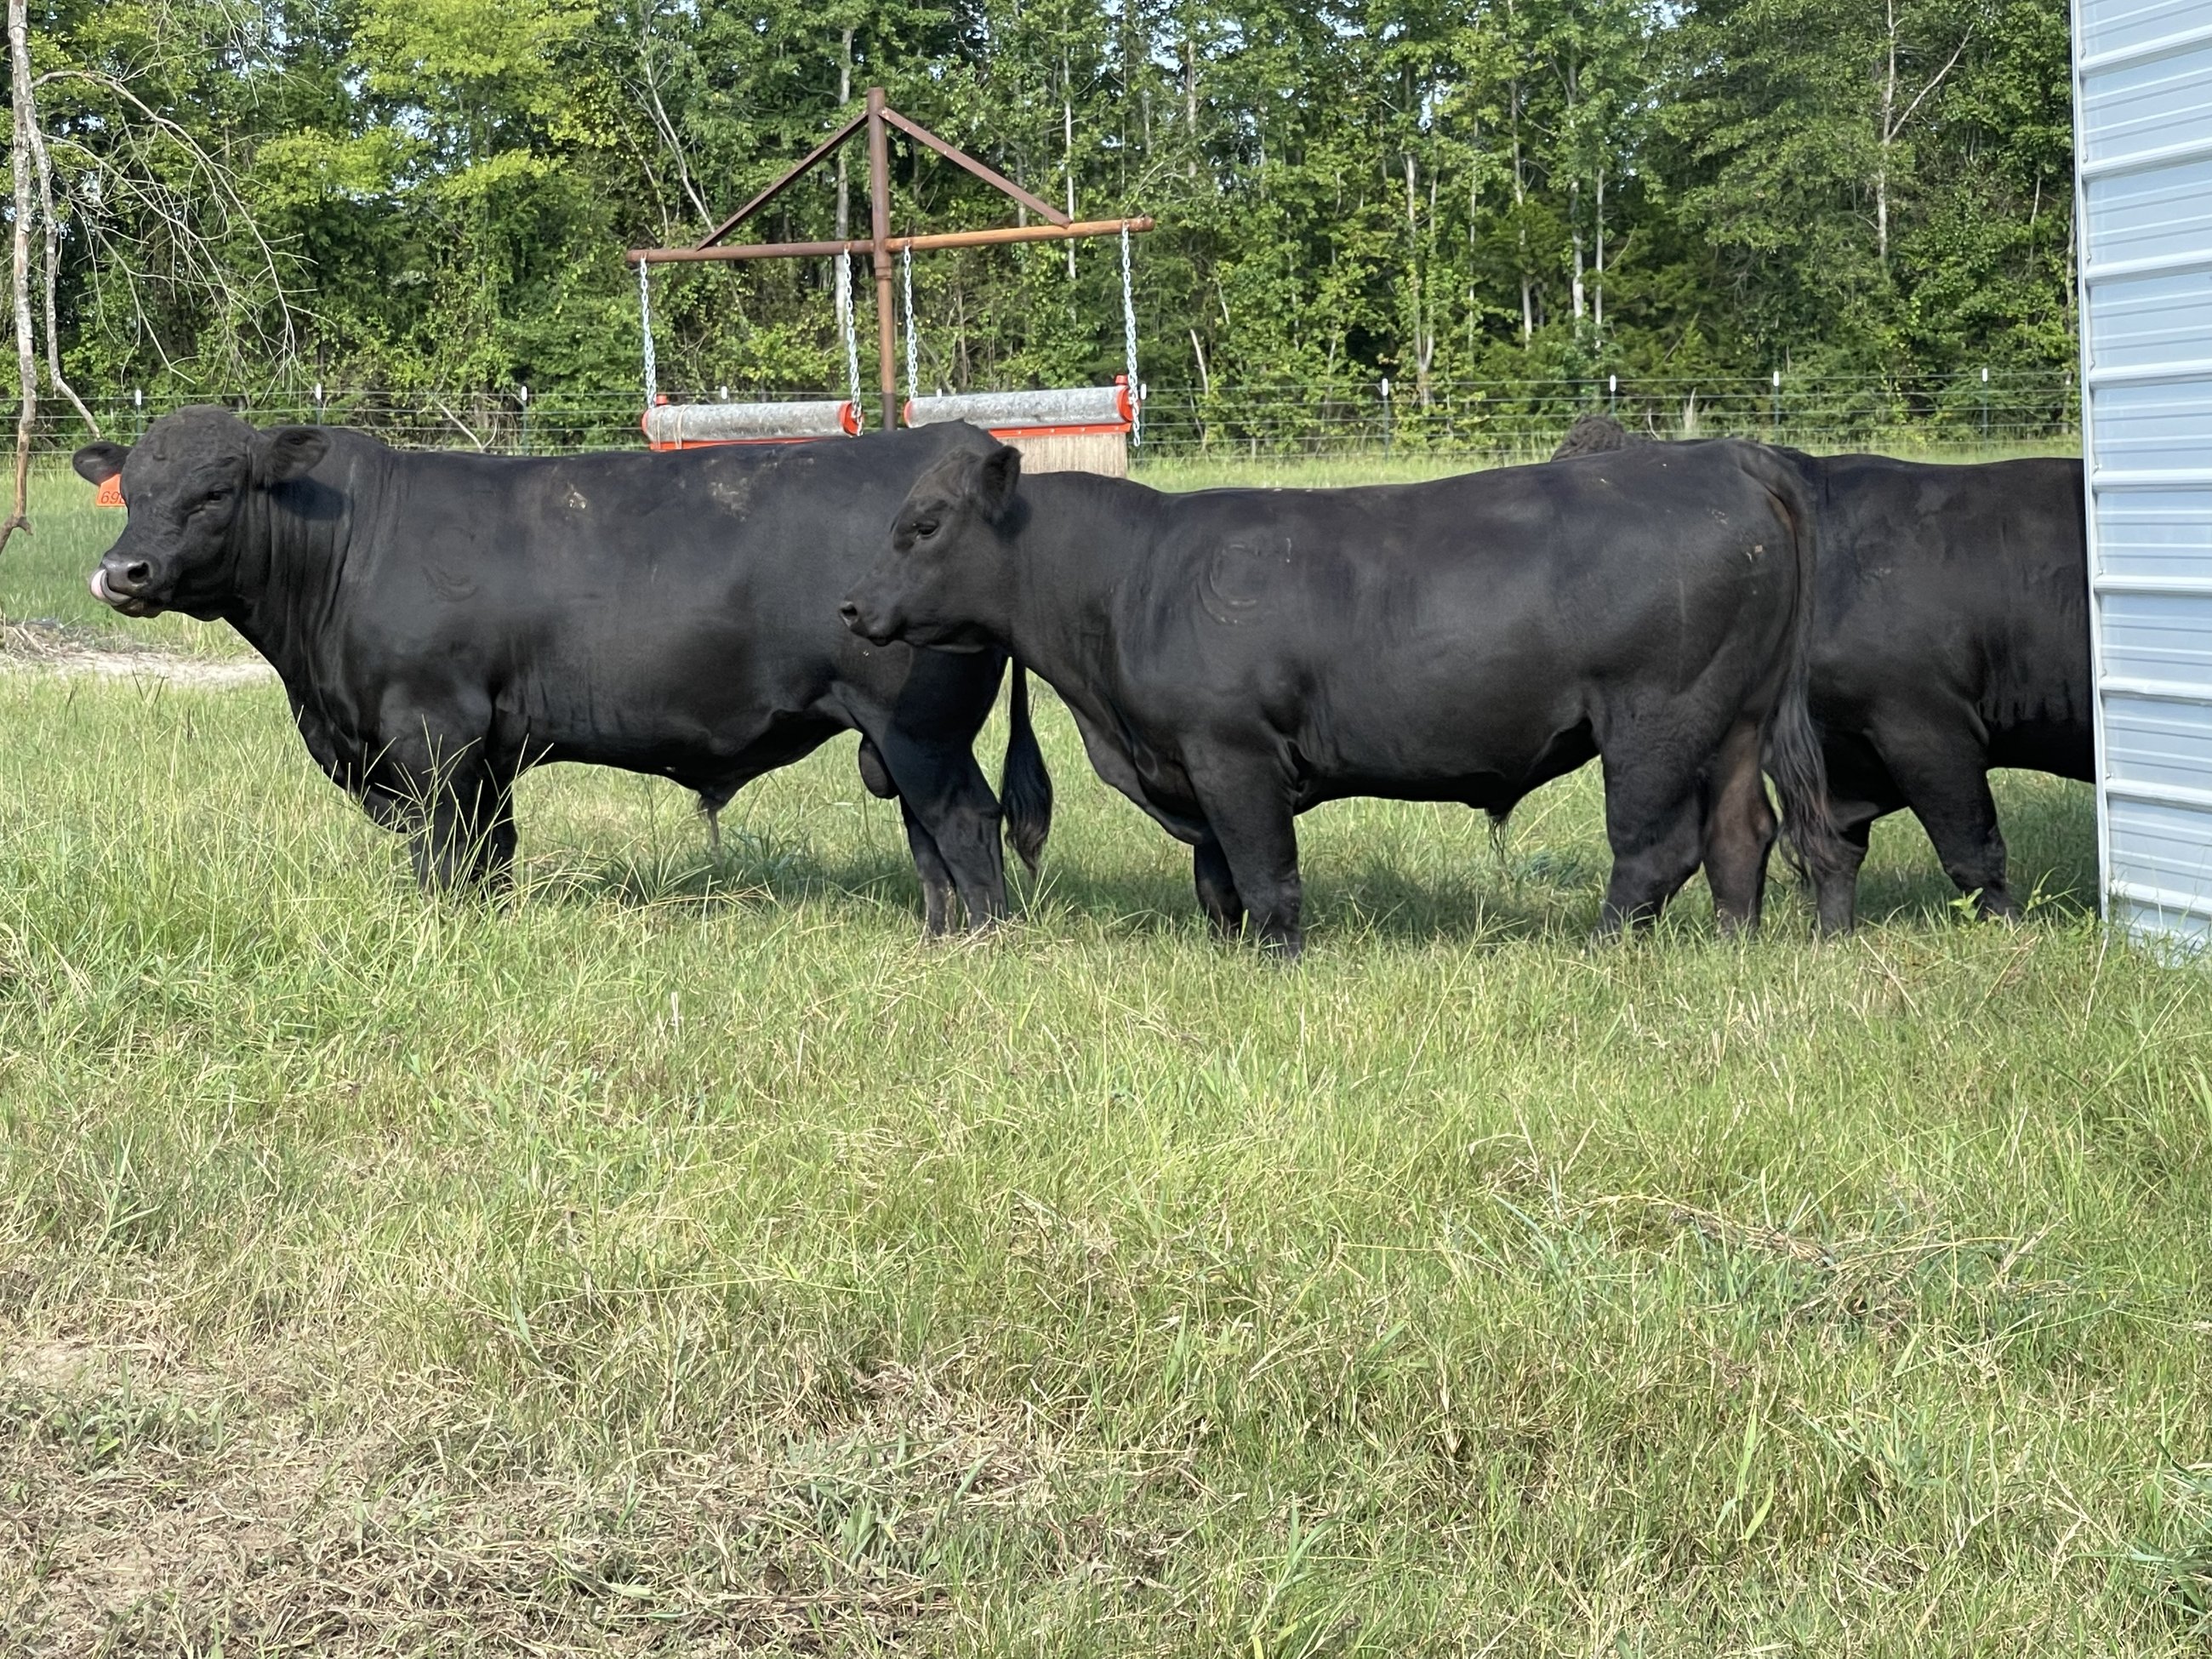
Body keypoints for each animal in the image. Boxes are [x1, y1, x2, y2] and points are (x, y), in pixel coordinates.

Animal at [71, 408, 1051, 931]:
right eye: (133, 492)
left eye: (215, 491)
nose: (123, 573)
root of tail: (965, 444)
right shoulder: (489, 745)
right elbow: (490, 848)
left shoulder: (432, 730)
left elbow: (443, 850)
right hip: (908, 736)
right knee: (929, 837)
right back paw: (935, 938)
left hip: (917, 727)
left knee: (964, 825)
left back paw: (980, 945)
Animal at [841, 439, 1845, 955]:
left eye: (923, 525)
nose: (850, 606)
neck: (1132, 579)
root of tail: (1725, 458)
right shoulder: (1197, 767)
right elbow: (1218, 881)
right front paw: (1232, 956)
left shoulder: (1231, 752)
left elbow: (1263, 872)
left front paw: (1276, 963)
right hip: (1734, 719)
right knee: (1741, 834)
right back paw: (1733, 948)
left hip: (1655, 718)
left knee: (1655, 848)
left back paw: (1602, 952)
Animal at [1542, 417, 2092, 928]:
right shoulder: (1840, 755)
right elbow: (1833, 854)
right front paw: (1832, 938)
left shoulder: (1927, 730)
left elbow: (1972, 853)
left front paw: (2012, 933)